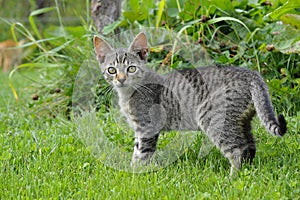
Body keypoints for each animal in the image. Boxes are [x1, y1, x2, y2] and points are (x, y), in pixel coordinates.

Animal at [93, 32, 286, 176]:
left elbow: (140, 154)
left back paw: (232, 178)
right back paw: (247, 172)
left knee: (238, 150)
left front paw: (134, 174)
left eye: (131, 68)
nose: (121, 79)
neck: (128, 94)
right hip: (241, 120)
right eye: (112, 70)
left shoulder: (147, 128)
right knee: (249, 147)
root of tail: (251, 74)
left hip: (213, 118)